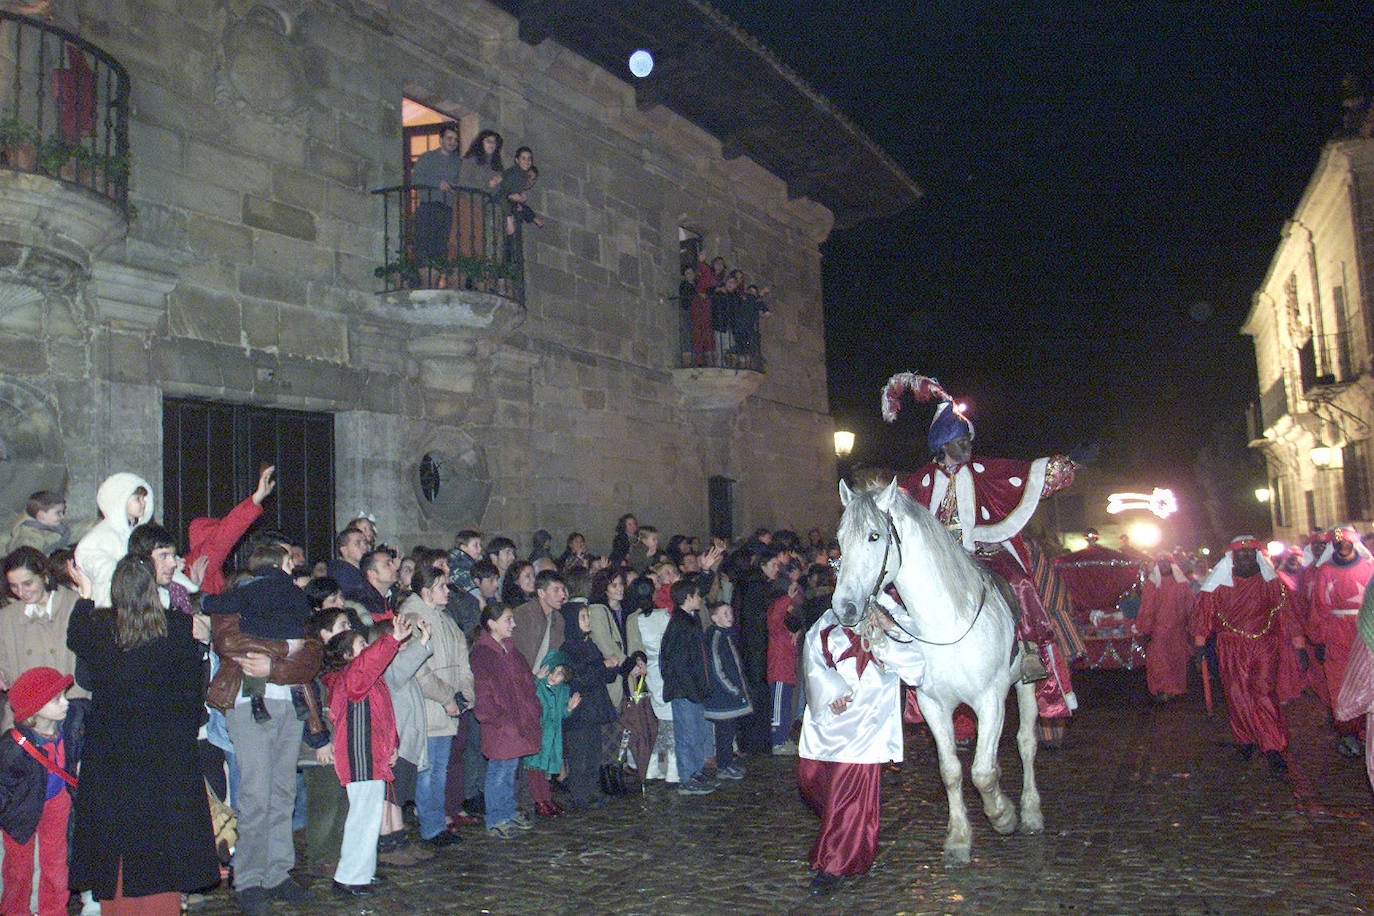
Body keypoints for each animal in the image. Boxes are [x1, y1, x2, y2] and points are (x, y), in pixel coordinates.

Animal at [829, 480, 1044, 867]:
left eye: (874, 535)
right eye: (840, 539)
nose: (845, 608)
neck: (948, 622)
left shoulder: (991, 701)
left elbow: (982, 773)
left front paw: (1003, 815)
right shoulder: (934, 706)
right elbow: (952, 771)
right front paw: (958, 839)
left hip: (1025, 684)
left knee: (1026, 742)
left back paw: (1031, 812)